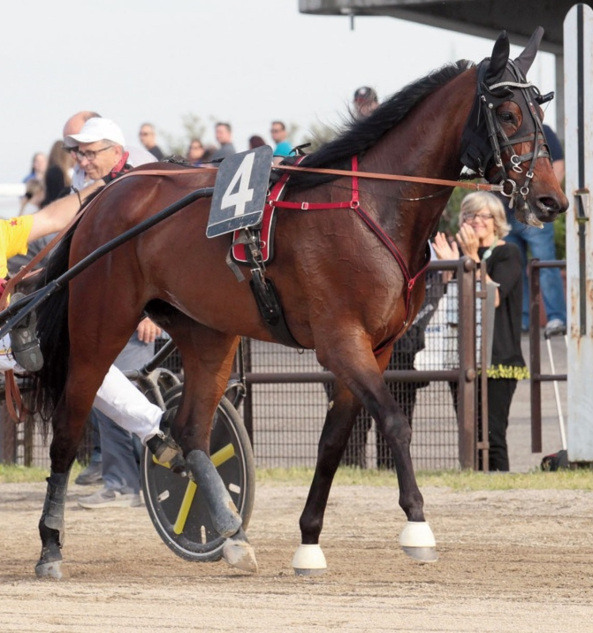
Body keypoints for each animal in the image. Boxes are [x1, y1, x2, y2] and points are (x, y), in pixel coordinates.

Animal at [31, 28, 564, 576]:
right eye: (508, 113)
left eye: (540, 111)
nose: (552, 200)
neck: (372, 206)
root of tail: (106, 195)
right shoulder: (341, 341)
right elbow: (393, 423)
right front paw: (417, 525)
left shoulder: (373, 349)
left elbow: (332, 442)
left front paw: (309, 541)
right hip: (100, 325)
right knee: (70, 429)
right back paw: (51, 546)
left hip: (207, 334)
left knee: (190, 430)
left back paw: (231, 534)